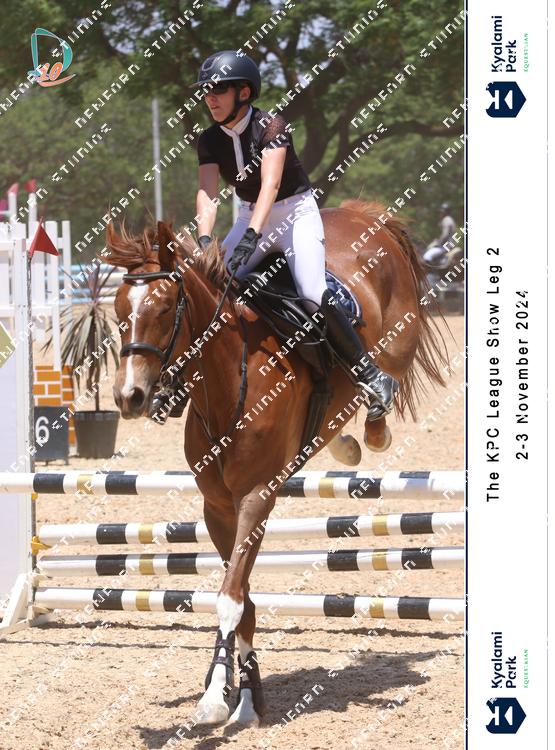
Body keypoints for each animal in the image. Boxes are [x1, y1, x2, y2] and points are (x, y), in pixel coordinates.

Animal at [105, 199, 449, 727]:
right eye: (120, 311)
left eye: (164, 308)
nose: (131, 397)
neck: (229, 380)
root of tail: (364, 214)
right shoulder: (217, 508)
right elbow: (242, 599)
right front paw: (244, 697)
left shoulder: (255, 497)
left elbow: (229, 598)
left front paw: (216, 700)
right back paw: (342, 443)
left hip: (396, 339)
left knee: (383, 379)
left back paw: (372, 420)